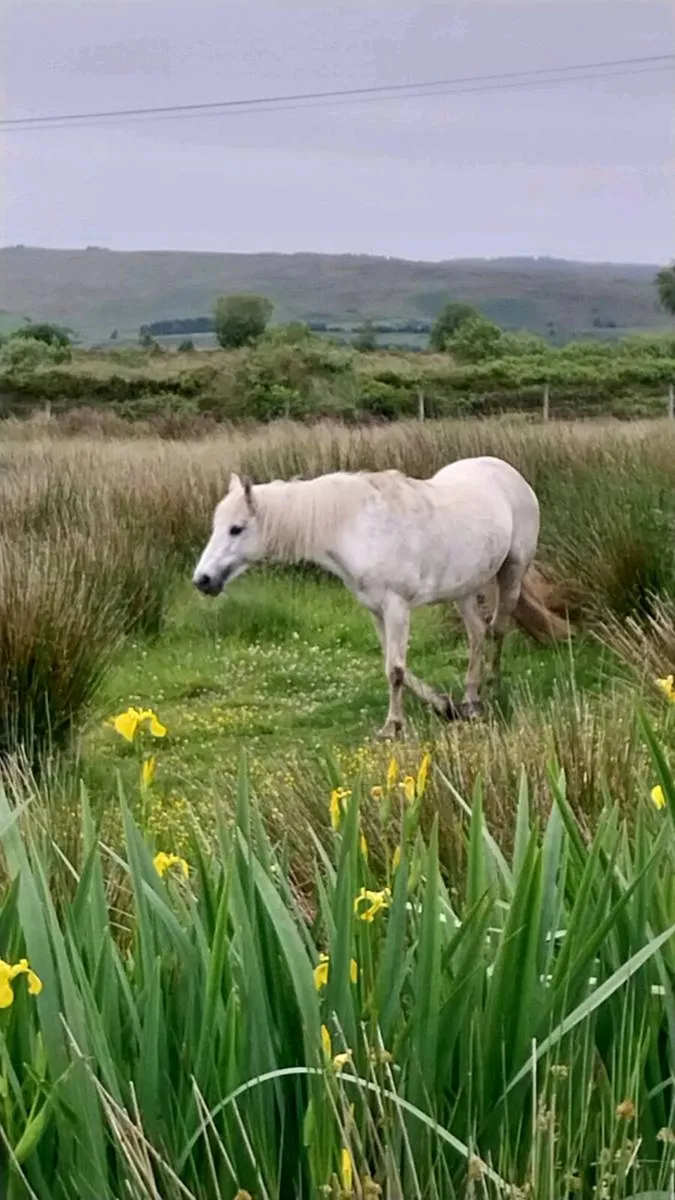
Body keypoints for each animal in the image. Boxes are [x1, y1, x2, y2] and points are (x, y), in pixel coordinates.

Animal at [193, 456, 568, 739]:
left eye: (236, 528)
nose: (203, 580)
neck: (357, 527)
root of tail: (507, 471)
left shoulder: (396, 606)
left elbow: (395, 669)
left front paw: (393, 726)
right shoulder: (375, 609)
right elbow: (392, 663)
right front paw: (442, 705)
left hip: (512, 572)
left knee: (498, 629)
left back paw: (493, 687)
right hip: (463, 588)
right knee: (477, 633)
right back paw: (470, 700)